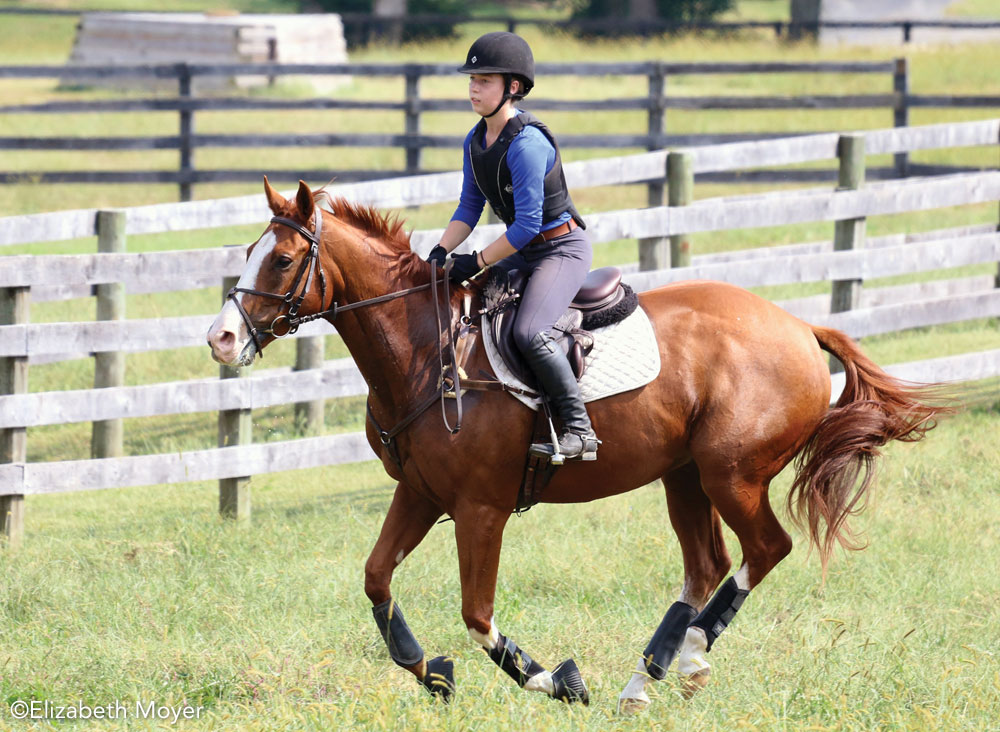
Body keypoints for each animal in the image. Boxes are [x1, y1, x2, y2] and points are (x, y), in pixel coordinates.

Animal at [209, 180, 944, 712]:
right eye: (247, 253)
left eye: (281, 259)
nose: (220, 339)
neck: (426, 353)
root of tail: (797, 325)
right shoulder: (419, 494)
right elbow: (376, 580)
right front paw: (431, 670)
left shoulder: (481, 509)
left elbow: (478, 615)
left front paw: (554, 680)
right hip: (684, 476)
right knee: (705, 565)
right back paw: (646, 679)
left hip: (731, 474)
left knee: (765, 549)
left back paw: (690, 654)